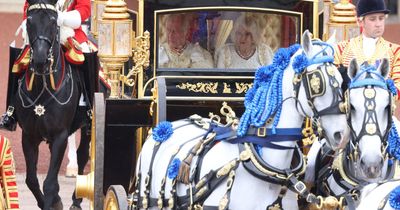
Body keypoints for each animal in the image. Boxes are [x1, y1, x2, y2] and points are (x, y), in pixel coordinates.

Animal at [14, 0, 90, 209]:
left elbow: (49, 183)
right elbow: (32, 179)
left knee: (82, 155)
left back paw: (76, 199)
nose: (40, 60)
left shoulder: (60, 135)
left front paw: (54, 200)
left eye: (54, 21)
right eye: (29, 21)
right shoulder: (29, 136)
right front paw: (54, 201)